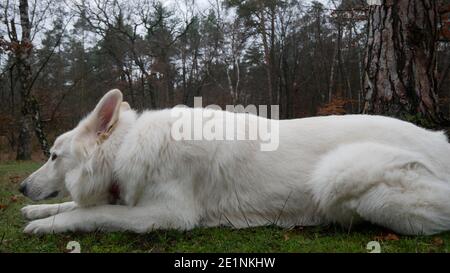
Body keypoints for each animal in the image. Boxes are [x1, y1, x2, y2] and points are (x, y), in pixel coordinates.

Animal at [19, 88, 450, 234]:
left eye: (53, 156)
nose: (20, 186)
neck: (127, 148)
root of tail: (439, 140)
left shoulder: (167, 215)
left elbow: (94, 213)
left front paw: (46, 225)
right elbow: (75, 204)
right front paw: (35, 212)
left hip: (337, 177)